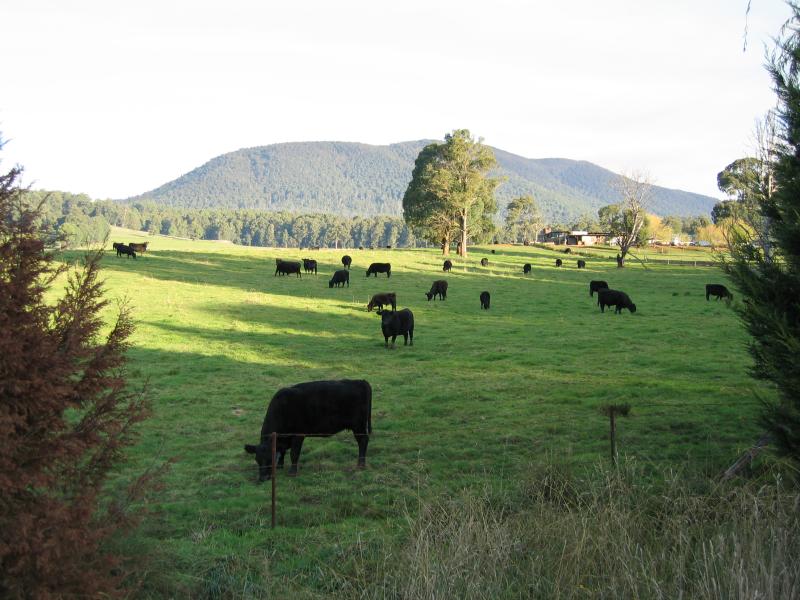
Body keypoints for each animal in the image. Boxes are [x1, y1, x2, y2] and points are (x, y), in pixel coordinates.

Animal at [244, 379, 372, 481]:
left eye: (270, 459)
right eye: (257, 460)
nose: (263, 478)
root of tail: (359, 381)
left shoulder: (298, 434)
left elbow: (294, 453)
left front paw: (292, 472)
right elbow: (283, 451)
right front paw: (280, 466)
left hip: (358, 426)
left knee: (363, 441)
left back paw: (361, 464)